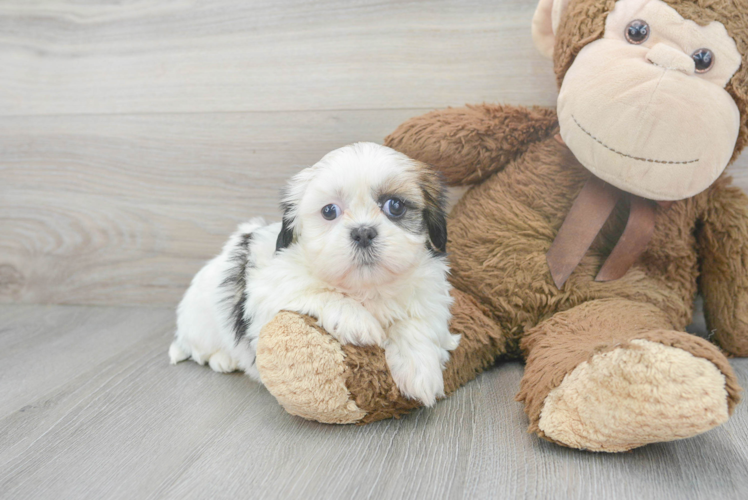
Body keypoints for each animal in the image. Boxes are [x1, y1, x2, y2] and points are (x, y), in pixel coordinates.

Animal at [170, 142, 458, 406]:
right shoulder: (269, 291)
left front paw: (420, 371)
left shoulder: (430, 297)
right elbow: (318, 291)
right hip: (201, 323)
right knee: (200, 350)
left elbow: (417, 324)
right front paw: (357, 320)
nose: (363, 232)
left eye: (395, 206)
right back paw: (222, 358)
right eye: (329, 211)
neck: (364, 287)